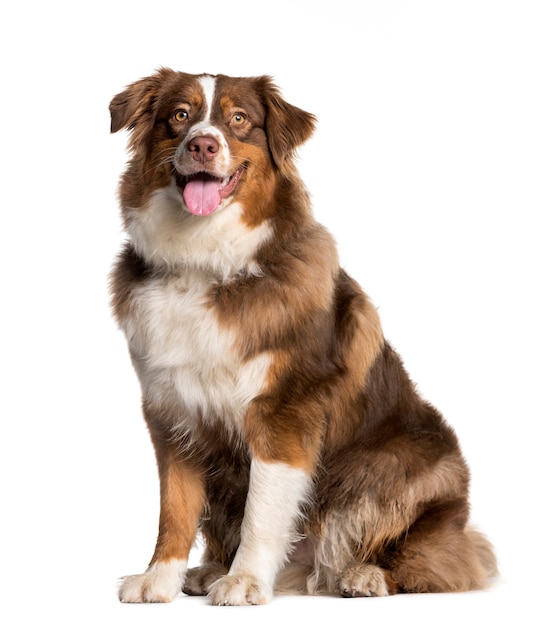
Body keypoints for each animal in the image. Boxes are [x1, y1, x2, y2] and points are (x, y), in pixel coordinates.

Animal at [109, 69, 498, 604]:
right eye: (180, 115)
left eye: (239, 119)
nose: (204, 145)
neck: (205, 262)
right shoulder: (172, 411)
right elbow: (176, 508)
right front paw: (159, 578)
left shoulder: (283, 413)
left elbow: (262, 510)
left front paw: (245, 580)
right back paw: (212, 568)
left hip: (399, 469)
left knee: (433, 559)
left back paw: (365, 575)